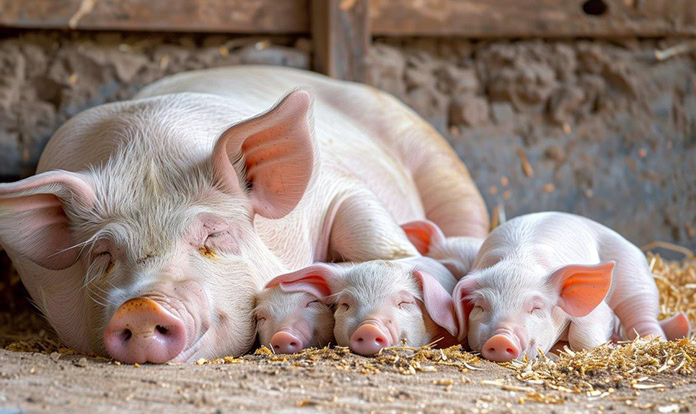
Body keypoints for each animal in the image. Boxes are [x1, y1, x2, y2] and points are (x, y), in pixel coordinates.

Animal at [452, 212, 691, 362]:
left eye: (536, 308)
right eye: (481, 307)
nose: (501, 338)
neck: (517, 260)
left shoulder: (598, 310)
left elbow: (582, 335)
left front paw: (609, 345)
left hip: (636, 279)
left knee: (644, 318)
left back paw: (653, 339)